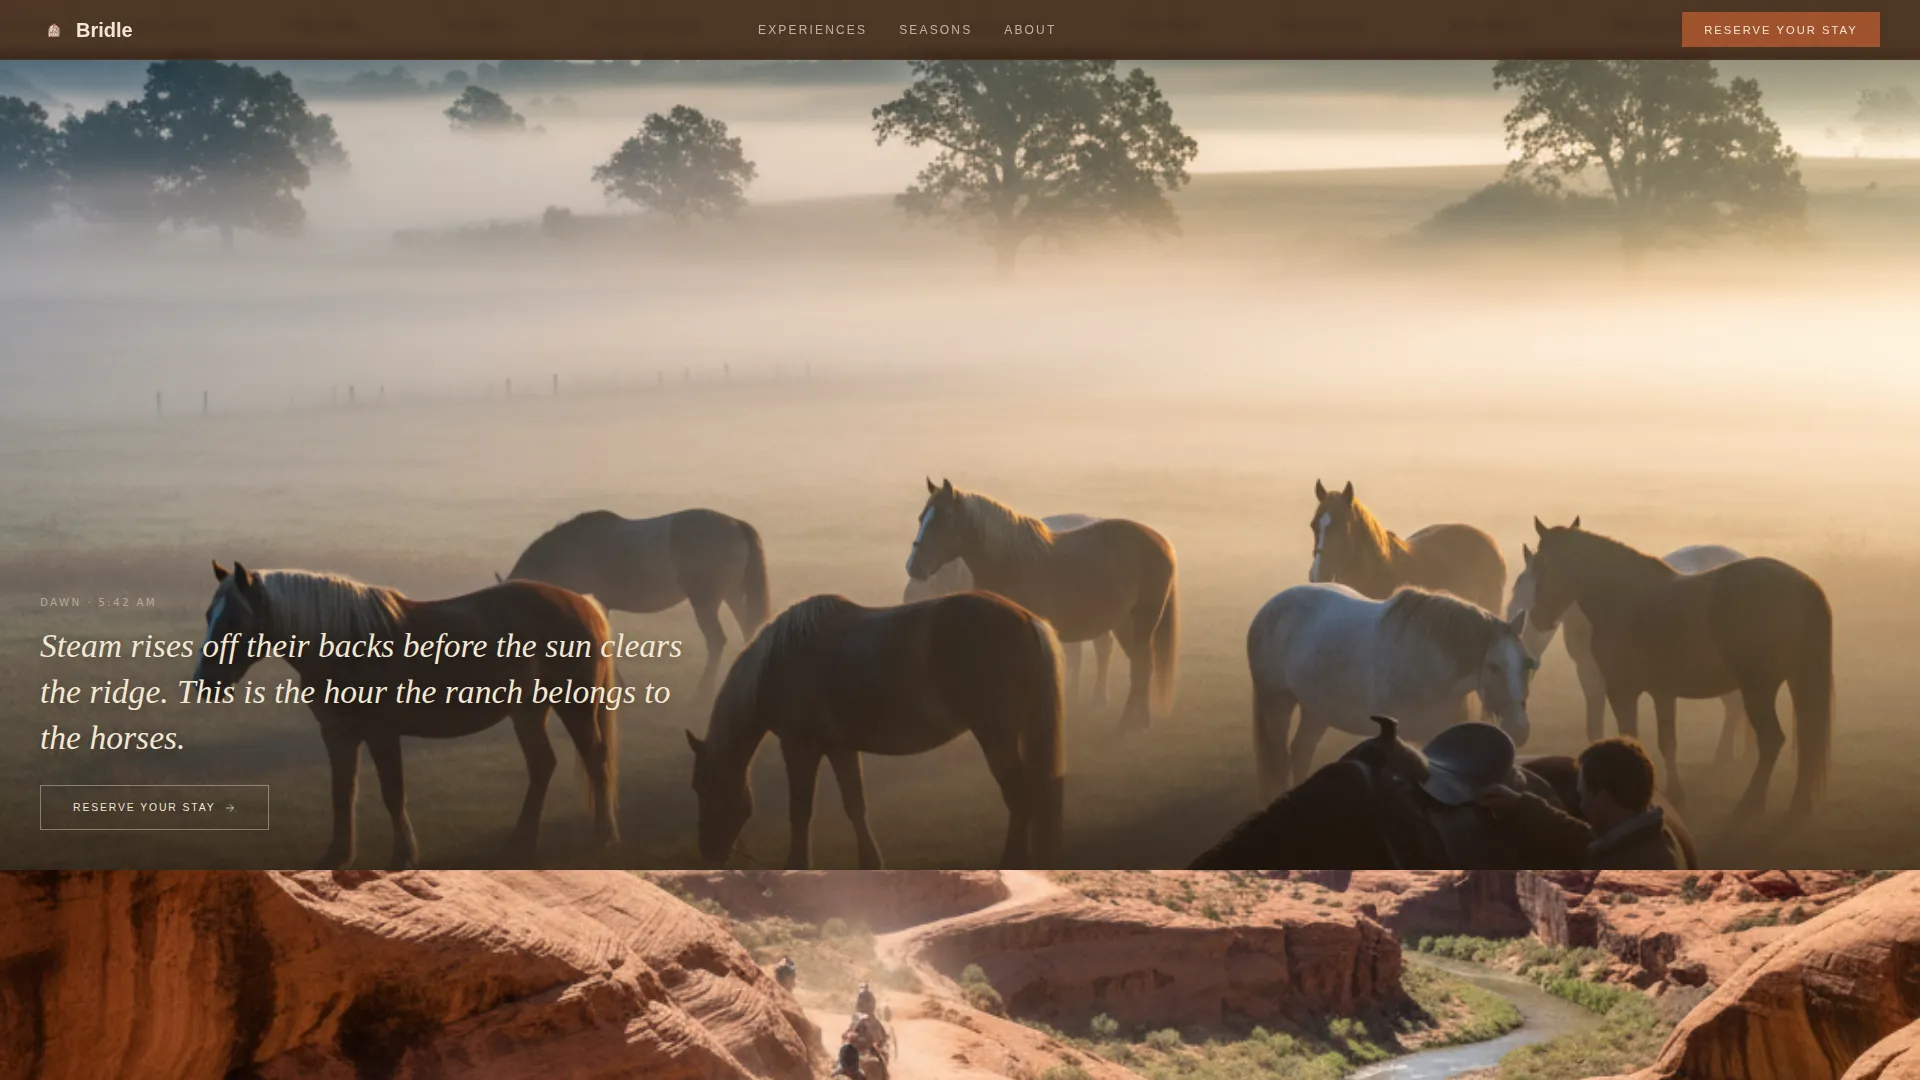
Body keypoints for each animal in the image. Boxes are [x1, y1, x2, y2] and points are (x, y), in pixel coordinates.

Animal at [192, 561, 620, 870]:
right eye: (208, 615)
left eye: (234, 621)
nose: (203, 682)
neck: (348, 644)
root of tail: (584, 603)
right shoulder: (337, 735)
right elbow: (341, 793)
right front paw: (337, 855)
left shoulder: (382, 734)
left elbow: (392, 793)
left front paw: (403, 856)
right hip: (528, 711)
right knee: (543, 764)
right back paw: (521, 840)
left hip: (574, 706)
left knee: (594, 759)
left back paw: (603, 836)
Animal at [502, 508, 770, 697]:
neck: (569, 550)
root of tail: (736, 525)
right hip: (733, 594)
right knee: (749, 631)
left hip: (705, 599)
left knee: (716, 640)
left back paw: (702, 694)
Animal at [686, 591, 1065, 870]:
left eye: (703, 786)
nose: (709, 851)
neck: (777, 662)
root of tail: (1027, 619)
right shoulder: (840, 747)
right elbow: (855, 804)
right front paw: (871, 863)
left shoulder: (799, 747)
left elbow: (800, 812)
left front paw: (798, 865)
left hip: (996, 736)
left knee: (1019, 795)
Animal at [1248, 583, 1535, 802]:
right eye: (1494, 666)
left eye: (1528, 663)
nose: (1519, 730)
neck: (1429, 666)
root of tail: (1268, 608)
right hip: (1277, 701)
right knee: (1280, 760)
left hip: (1316, 710)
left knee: (1301, 750)